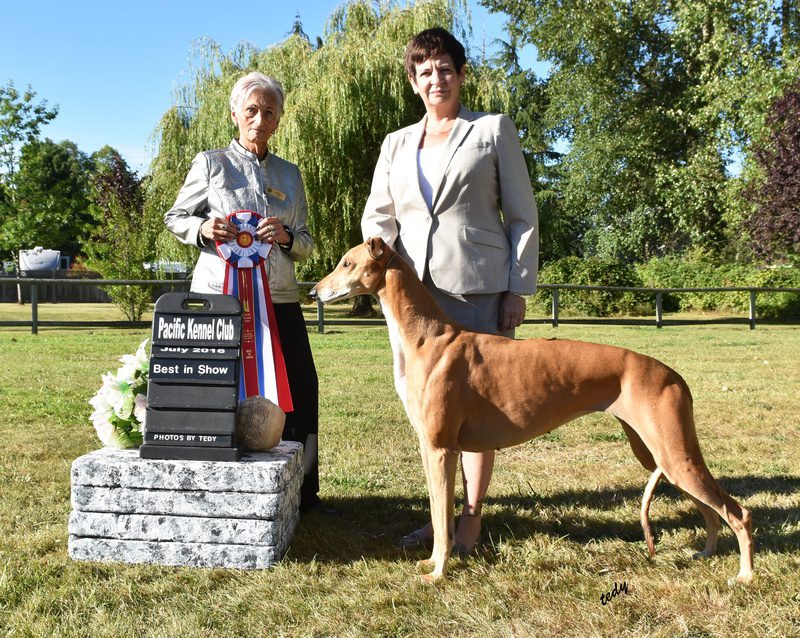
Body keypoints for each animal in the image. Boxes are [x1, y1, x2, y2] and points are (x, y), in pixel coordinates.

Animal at [310, 239, 752, 584]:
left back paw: (744, 575)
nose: (314, 292)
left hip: (673, 454)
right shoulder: (431, 448)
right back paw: (707, 553)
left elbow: (442, 518)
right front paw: (434, 563)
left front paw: (438, 572)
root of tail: (674, 375)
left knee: (738, 512)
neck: (427, 338)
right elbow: (438, 514)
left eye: (347, 262)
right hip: (660, 455)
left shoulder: (440, 448)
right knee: (710, 509)